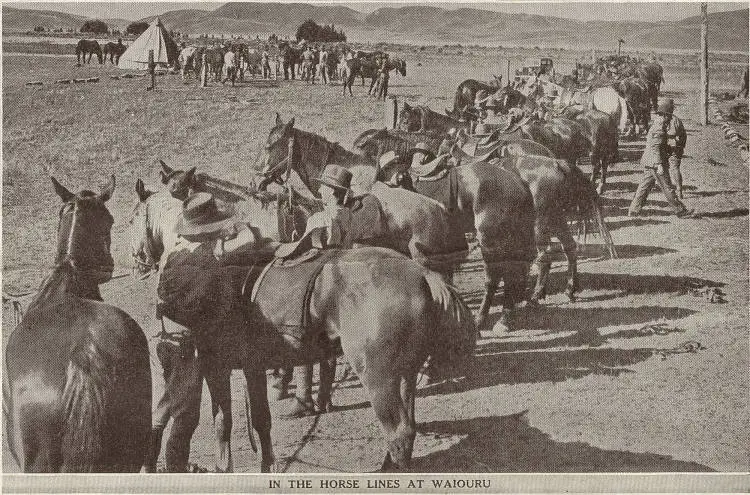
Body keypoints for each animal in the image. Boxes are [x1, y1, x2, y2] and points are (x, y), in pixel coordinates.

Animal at [129, 183, 476, 472]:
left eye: (132, 218)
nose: (138, 260)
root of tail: (422, 275)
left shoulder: (216, 365)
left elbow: (222, 422)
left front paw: (223, 467)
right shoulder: (251, 366)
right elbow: (260, 420)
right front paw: (266, 466)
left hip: (379, 376)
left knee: (399, 431)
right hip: (404, 373)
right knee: (408, 427)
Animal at [262, 113, 536, 330]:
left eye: (271, 145)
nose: (259, 178)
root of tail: (518, 182)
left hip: (490, 239)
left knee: (496, 275)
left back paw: (485, 318)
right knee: (514, 269)